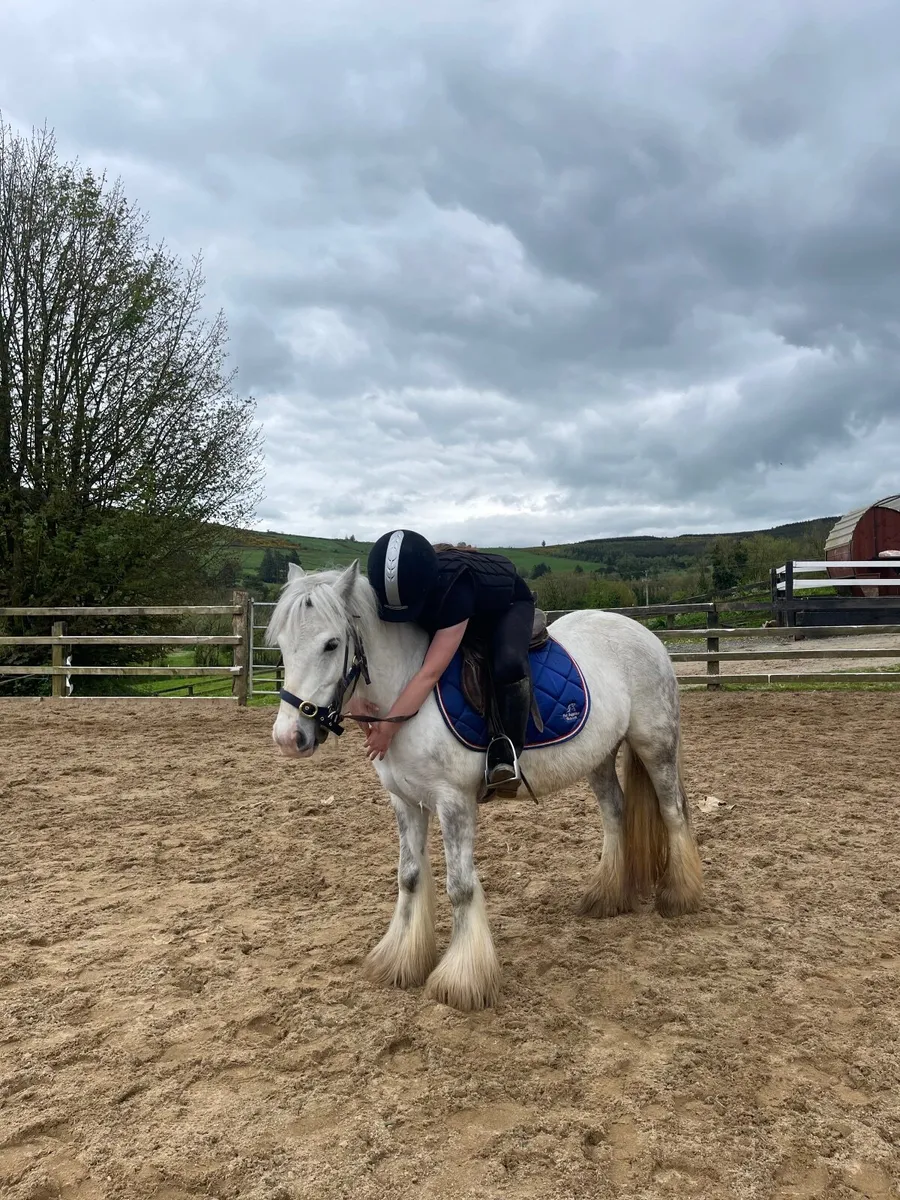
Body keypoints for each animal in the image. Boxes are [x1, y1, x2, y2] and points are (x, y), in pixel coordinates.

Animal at [267, 560, 703, 1011]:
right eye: (281, 643)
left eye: (331, 644)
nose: (288, 738)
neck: (407, 691)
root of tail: (643, 634)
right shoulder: (405, 802)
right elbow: (409, 876)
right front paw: (400, 961)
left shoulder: (454, 802)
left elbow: (460, 887)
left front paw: (461, 980)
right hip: (599, 756)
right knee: (615, 813)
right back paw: (608, 895)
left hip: (656, 744)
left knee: (673, 811)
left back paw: (680, 896)